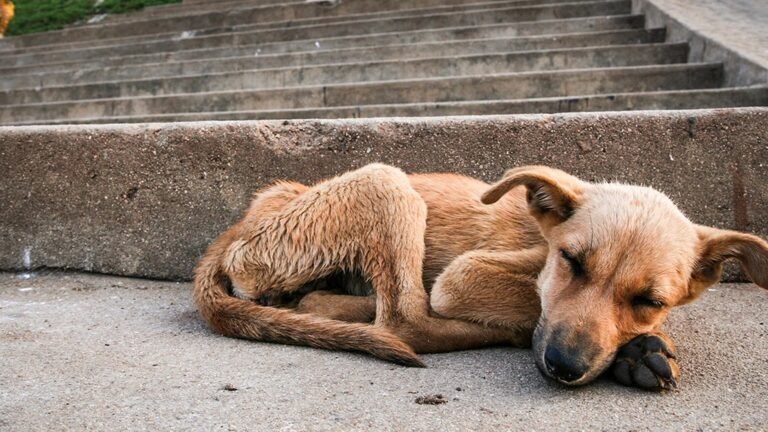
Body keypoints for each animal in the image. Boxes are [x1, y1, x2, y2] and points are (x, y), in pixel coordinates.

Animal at [194, 164, 768, 390]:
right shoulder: (463, 275)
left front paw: (639, 345)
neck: (541, 238)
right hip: (386, 182)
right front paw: (639, 349)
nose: (564, 367)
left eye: (650, 299)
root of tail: (241, 225)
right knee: (405, 319)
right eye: (572, 262)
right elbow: (530, 303)